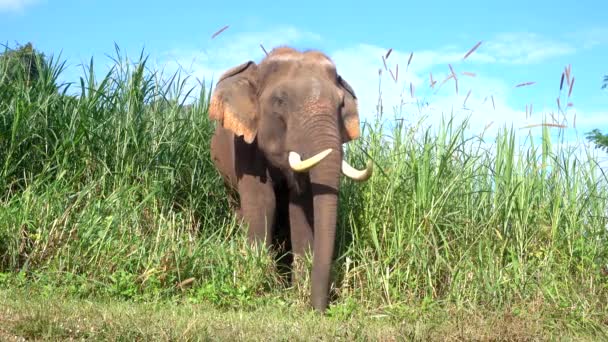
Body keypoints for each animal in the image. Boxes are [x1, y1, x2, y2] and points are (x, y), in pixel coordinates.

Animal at [208, 46, 370, 312]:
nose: (319, 309)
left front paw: (299, 289)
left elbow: (300, 206)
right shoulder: (245, 145)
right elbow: (263, 202)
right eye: (280, 101)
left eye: (341, 104)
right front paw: (265, 284)